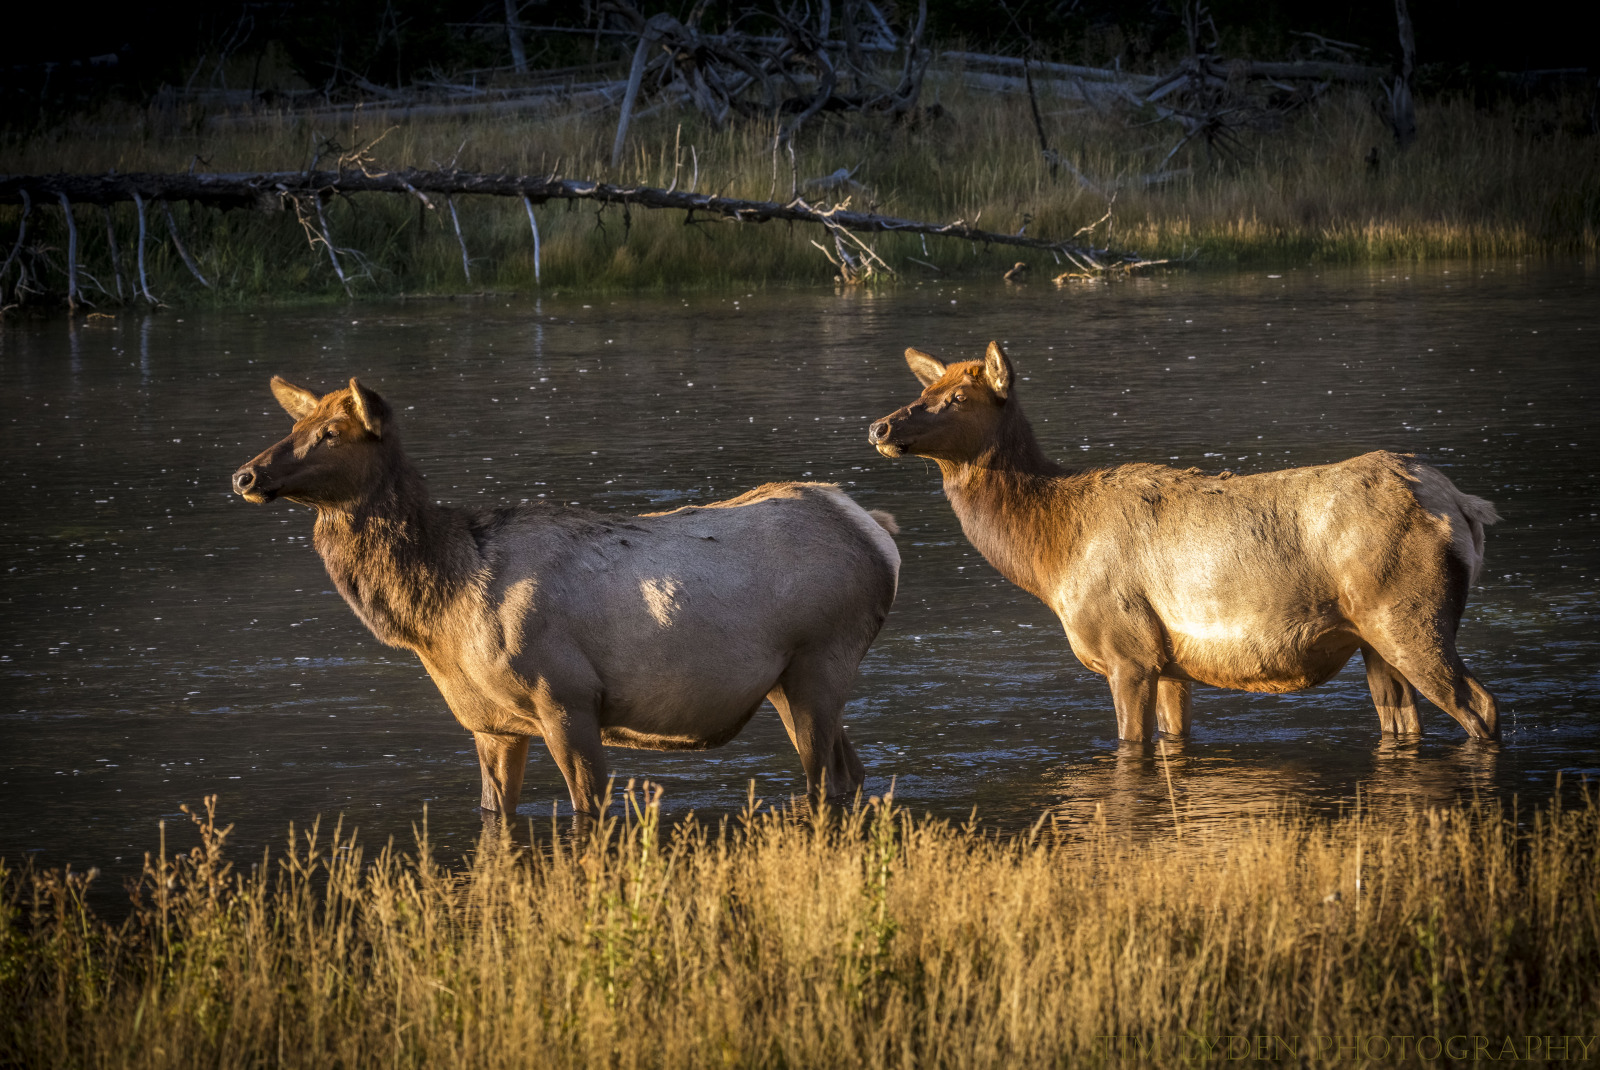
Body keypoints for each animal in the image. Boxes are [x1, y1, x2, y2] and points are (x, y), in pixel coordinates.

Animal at [232, 375, 902, 809]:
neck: (439, 610)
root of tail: (878, 532)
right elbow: (494, 816)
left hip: (821, 661)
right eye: (295, 423)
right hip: (789, 682)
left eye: (332, 432)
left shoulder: (566, 701)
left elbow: (588, 811)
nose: (245, 475)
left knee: (827, 784)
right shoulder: (490, 725)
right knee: (854, 773)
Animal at [864, 342, 1497, 742]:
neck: (1050, 554)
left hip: (1409, 617)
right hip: (1375, 640)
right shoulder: (1170, 665)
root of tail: (1463, 506)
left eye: (957, 399)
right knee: (1404, 723)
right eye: (928, 385)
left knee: (1481, 706)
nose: (880, 426)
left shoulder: (1128, 652)